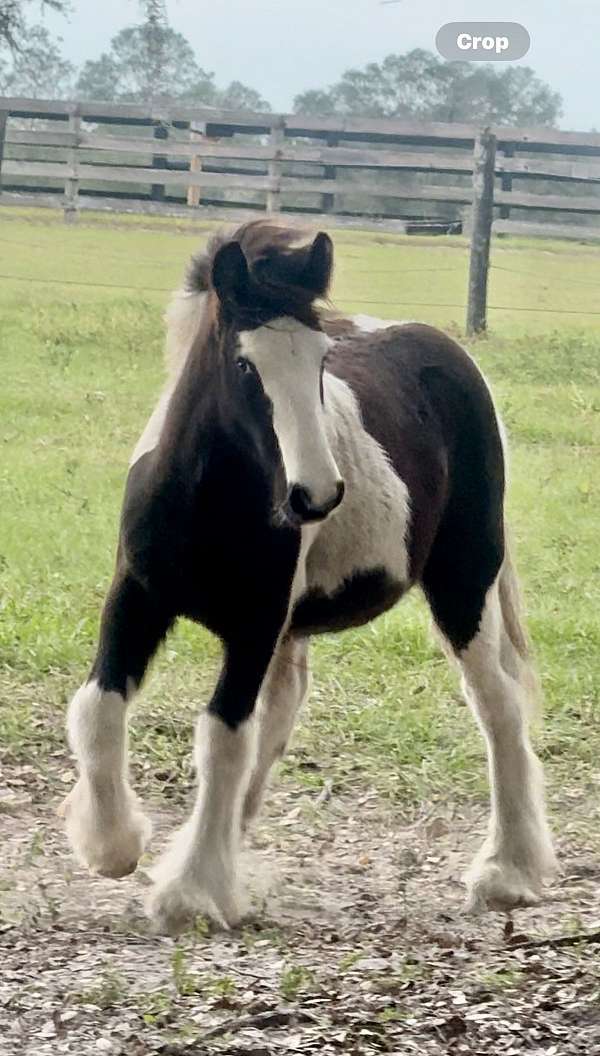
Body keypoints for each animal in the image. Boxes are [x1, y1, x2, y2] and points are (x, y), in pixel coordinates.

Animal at [59, 218, 553, 929]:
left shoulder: (255, 623)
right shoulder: (138, 597)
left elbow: (223, 738)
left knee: (499, 708)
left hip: (465, 585)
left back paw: (507, 872)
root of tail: (447, 350)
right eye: (245, 364)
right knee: (282, 710)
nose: (316, 496)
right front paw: (111, 845)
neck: (208, 503)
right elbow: (99, 708)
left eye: (321, 360)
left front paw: (191, 891)